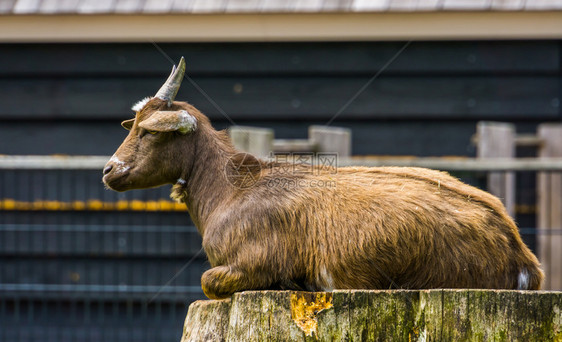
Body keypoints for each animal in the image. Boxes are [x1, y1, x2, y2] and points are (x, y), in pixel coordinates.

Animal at [103, 58, 540, 300]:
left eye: (149, 132)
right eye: (133, 125)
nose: (109, 170)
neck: (232, 188)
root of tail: (521, 256)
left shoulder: (251, 262)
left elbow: (208, 280)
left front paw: (292, 286)